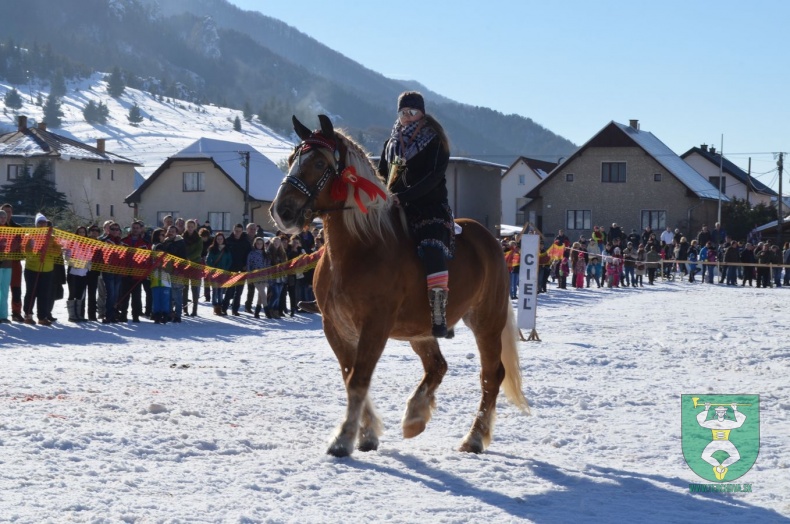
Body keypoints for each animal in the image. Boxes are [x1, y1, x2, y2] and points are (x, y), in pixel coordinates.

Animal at [272, 115, 532, 458]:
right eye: (292, 159)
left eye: (318, 162)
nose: (282, 211)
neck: (359, 247)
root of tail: (489, 239)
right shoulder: (336, 326)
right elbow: (350, 375)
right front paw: (367, 433)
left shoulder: (375, 325)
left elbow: (359, 379)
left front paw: (343, 439)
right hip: (420, 330)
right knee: (438, 366)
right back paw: (415, 417)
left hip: (486, 319)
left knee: (491, 376)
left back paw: (474, 437)